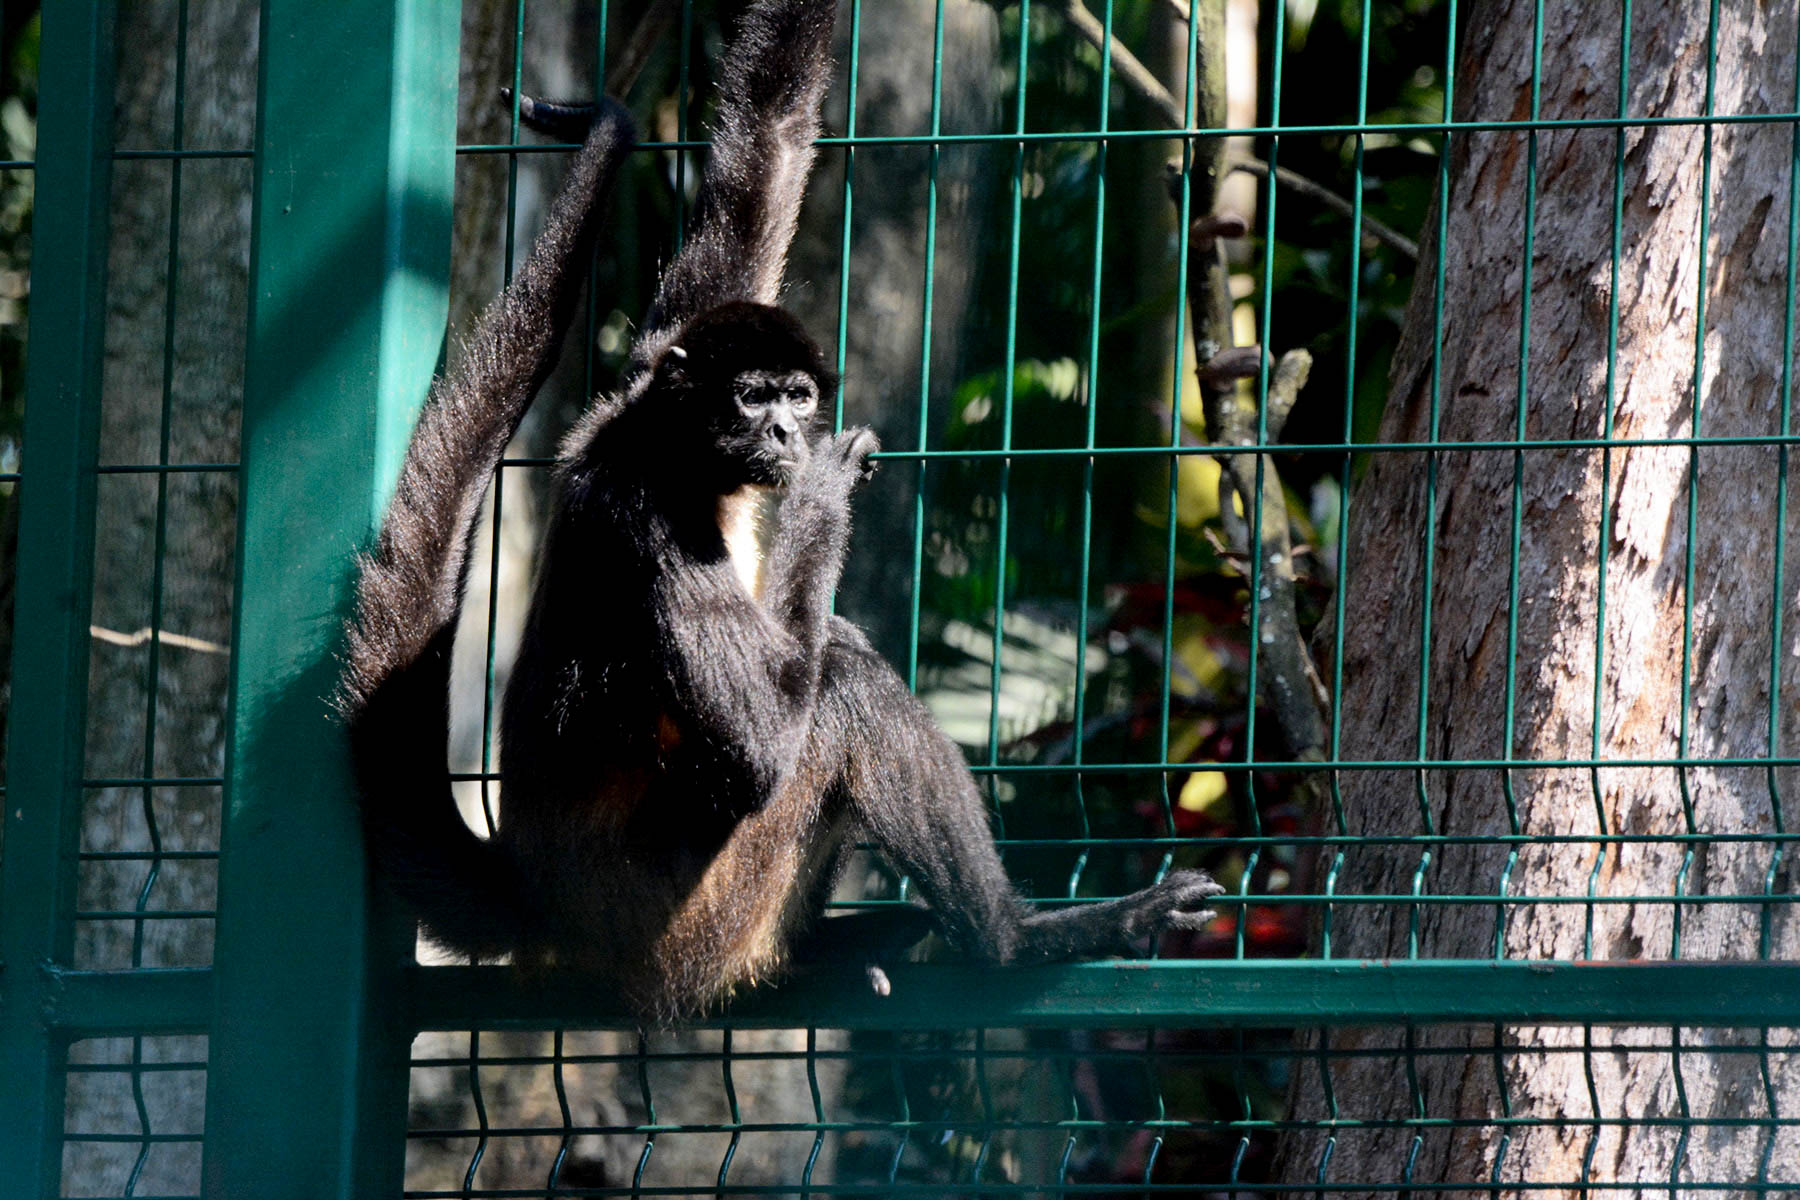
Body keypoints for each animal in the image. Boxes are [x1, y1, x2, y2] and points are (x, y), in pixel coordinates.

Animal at [340, 0, 1224, 1021]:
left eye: (797, 396)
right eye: (752, 397)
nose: (783, 434)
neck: (667, 449)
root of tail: (546, 902)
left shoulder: (646, 369)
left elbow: (764, 147)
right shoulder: (650, 516)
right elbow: (762, 750)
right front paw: (818, 498)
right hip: (692, 906)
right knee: (839, 677)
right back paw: (1018, 941)